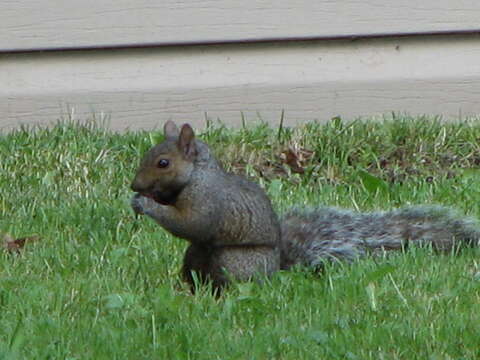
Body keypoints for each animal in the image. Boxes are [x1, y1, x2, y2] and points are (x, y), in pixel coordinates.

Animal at [130, 121, 480, 292]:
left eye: (163, 163)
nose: (134, 186)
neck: (197, 175)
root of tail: (278, 267)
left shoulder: (209, 200)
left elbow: (191, 223)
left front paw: (148, 204)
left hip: (236, 262)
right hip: (194, 258)